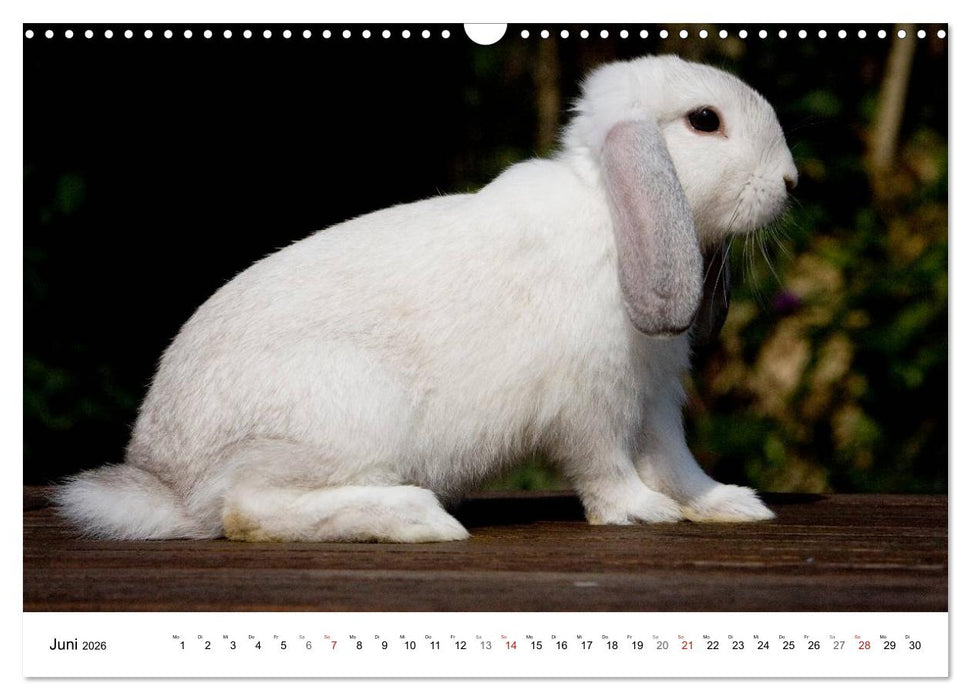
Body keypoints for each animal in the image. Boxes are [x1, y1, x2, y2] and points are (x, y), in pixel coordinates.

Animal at [54, 54, 798, 542]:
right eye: (705, 121)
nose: (790, 182)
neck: (610, 217)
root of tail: (169, 485)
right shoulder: (590, 402)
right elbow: (605, 466)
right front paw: (639, 512)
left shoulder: (655, 396)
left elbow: (676, 462)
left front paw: (728, 504)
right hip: (345, 413)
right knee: (245, 511)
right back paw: (419, 518)